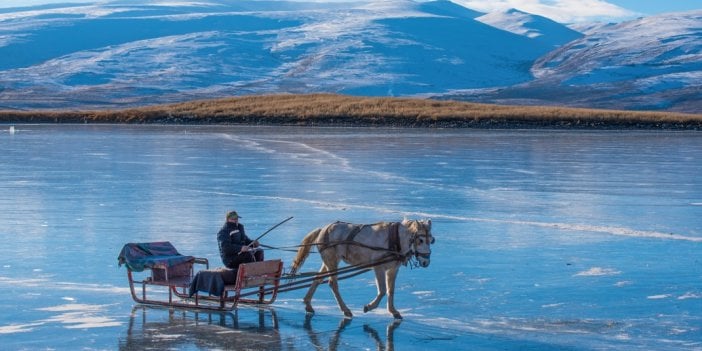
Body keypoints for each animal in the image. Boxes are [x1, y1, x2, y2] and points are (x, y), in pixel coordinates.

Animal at [290, 221, 434, 320]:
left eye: (431, 240)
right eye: (420, 240)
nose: (426, 262)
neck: (396, 239)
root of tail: (323, 229)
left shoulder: (392, 269)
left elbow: (390, 290)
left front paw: (393, 311)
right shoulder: (378, 267)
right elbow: (382, 291)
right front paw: (369, 307)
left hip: (330, 260)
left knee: (318, 278)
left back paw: (308, 304)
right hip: (331, 260)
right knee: (333, 283)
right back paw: (345, 310)